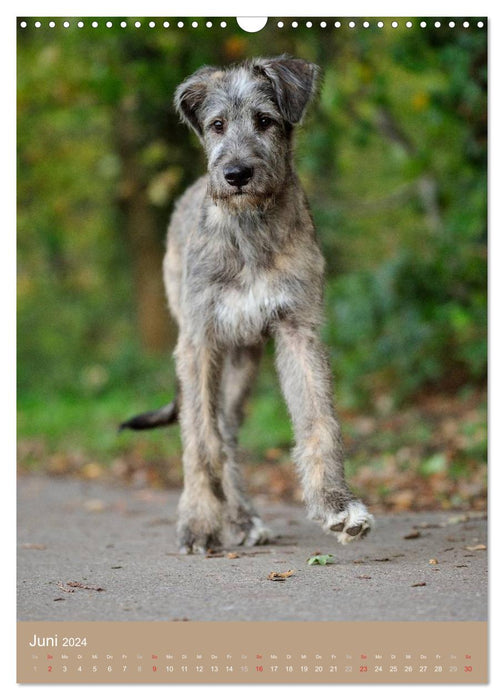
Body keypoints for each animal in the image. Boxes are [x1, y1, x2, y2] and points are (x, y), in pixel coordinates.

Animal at [122, 56, 374, 552]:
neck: (249, 230)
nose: (236, 174)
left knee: (229, 431)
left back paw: (242, 517)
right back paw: (228, 515)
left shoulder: (299, 329)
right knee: (213, 432)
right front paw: (199, 521)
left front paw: (337, 505)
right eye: (217, 125)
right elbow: (200, 441)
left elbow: (319, 420)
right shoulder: (198, 341)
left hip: (242, 361)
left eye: (265, 121)